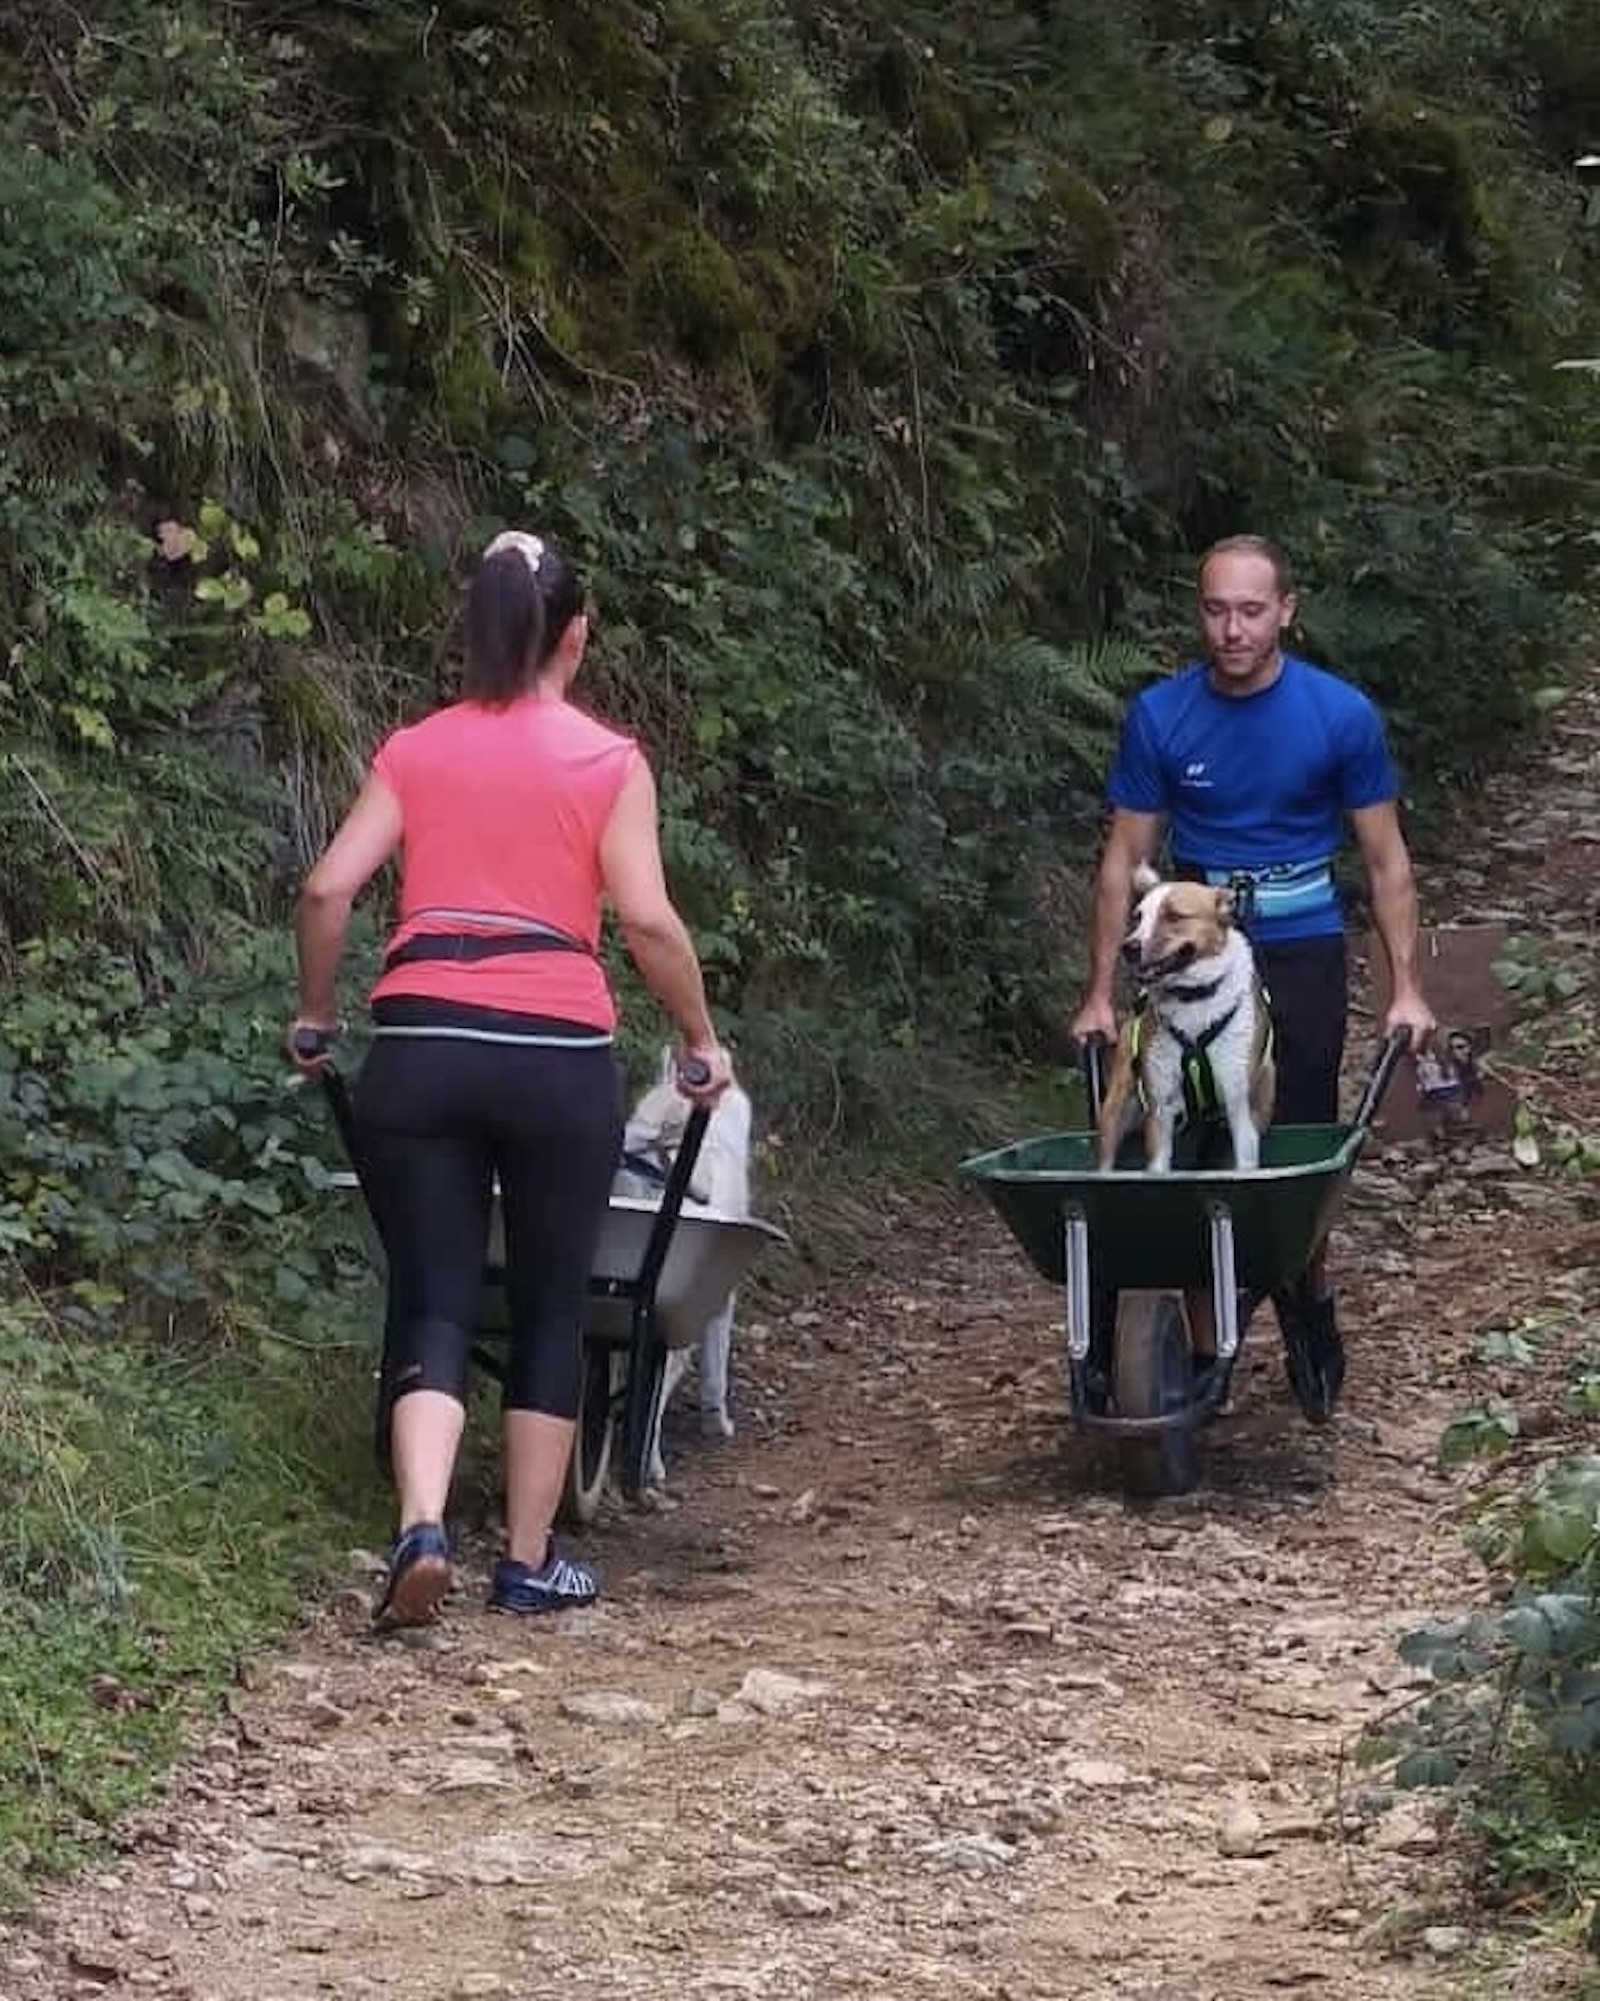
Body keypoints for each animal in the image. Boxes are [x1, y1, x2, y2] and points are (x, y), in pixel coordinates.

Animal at [1096, 862, 1274, 1174]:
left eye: (1174, 915)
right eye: (1138, 917)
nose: (1128, 947)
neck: (1194, 998)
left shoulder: (1240, 1108)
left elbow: (1244, 1163)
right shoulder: (1159, 1112)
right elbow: (1158, 1167)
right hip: (1116, 1107)